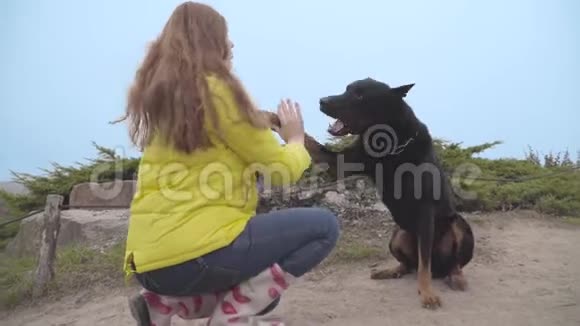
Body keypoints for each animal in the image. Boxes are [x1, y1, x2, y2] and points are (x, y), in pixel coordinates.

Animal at [288, 78, 474, 308]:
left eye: (360, 95)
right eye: (347, 89)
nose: (322, 101)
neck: (388, 144)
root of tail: (441, 270)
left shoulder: (425, 210)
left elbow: (425, 262)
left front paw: (426, 292)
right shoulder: (339, 163)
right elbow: (311, 143)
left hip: (458, 225)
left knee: (448, 263)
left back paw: (456, 277)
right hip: (397, 235)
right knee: (409, 265)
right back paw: (390, 271)